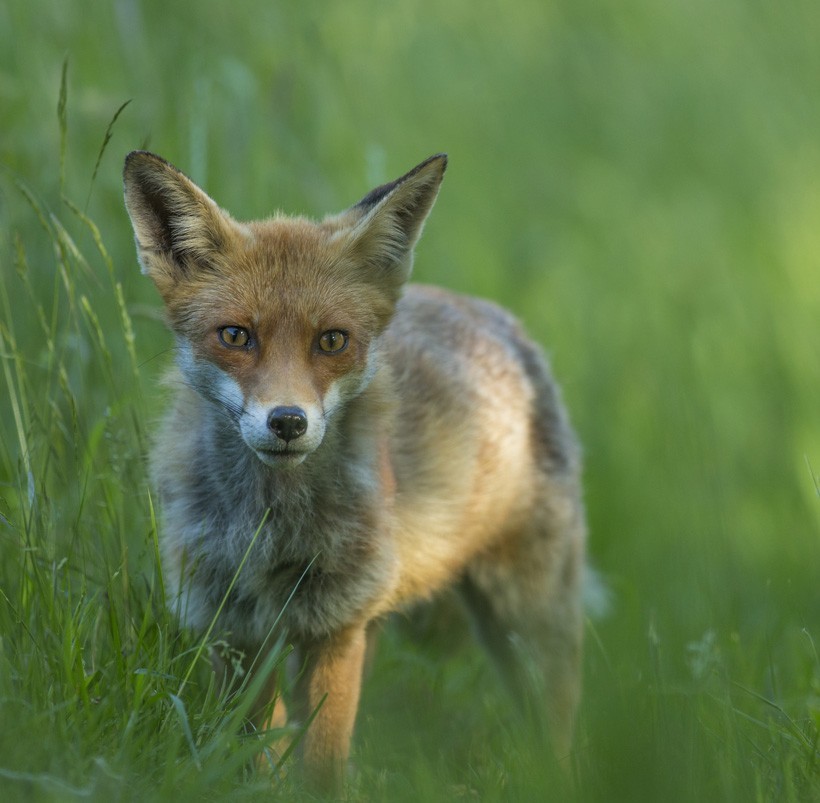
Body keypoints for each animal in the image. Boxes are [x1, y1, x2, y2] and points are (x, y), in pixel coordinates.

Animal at [121, 152, 588, 796]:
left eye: (332, 340)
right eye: (236, 335)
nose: (288, 421)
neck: (271, 528)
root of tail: (491, 314)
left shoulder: (336, 621)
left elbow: (321, 762)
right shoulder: (230, 619)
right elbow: (252, 750)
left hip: (524, 612)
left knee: (557, 718)